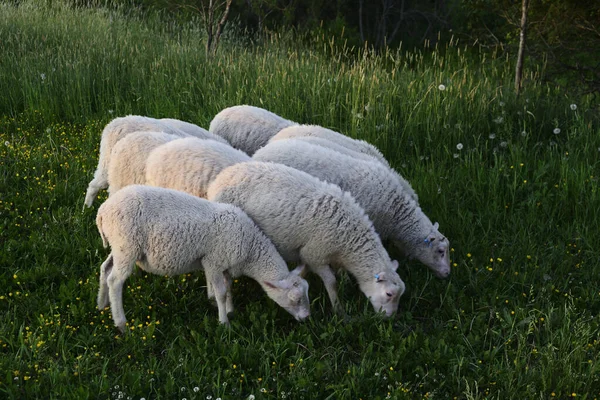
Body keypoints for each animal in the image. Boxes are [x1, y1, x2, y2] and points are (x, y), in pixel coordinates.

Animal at [96, 184, 312, 332]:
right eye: (296, 299)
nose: (307, 318)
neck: (250, 247)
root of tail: (103, 211)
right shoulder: (213, 262)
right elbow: (222, 292)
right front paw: (224, 322)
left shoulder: (221, 264)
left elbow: (227, 288)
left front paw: (228, 309)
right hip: (127, 247)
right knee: (115, 280)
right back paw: (121, 323)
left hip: (119, 247)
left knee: (105, 268)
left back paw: (101, 304)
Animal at [207, 161, 408, 318]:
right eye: (389, 294)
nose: (389, 318)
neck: (350, 240)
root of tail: (222, 176)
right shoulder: (314, 255)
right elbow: (331, 283)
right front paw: (339, 311)